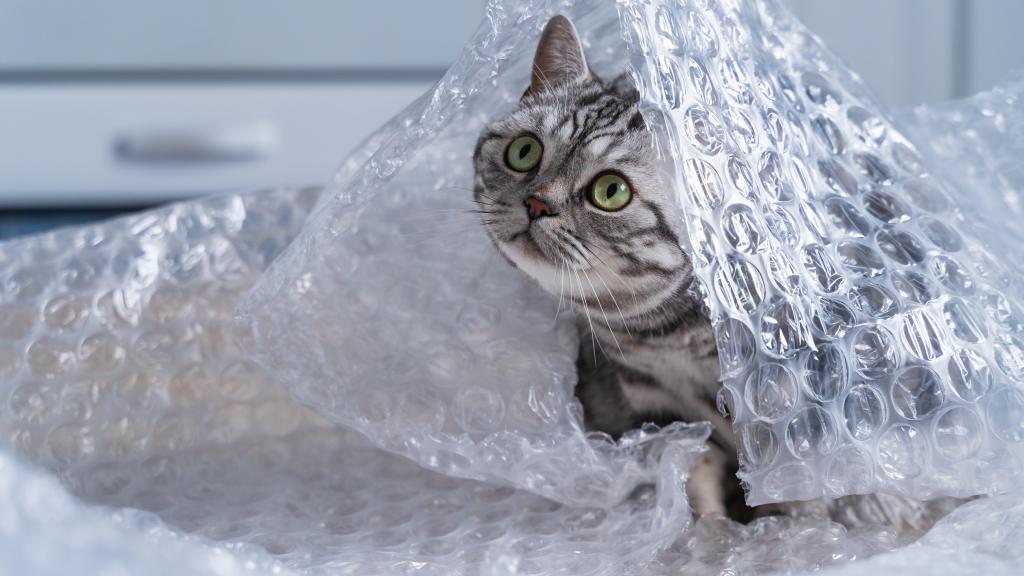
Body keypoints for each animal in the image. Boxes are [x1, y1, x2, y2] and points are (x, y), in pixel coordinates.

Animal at [475, 12, 954, 528]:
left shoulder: (808, 398)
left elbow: (808, 482)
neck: (666, 338)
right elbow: (692, 472)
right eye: (524, 152)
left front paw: (808, 528)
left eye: (610, 191)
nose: (536, 204)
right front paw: (708, 531)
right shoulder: (660, 410)